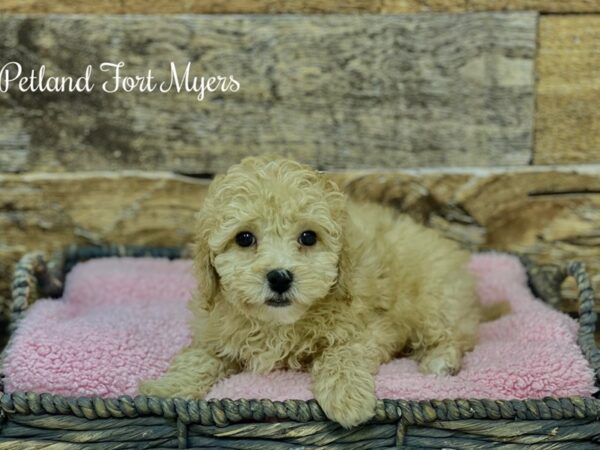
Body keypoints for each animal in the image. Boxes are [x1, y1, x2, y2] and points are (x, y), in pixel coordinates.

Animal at [138, 156, 500, 428]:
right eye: (244, 238)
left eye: (308, 237)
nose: (280, 277)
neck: (279, 324)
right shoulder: (214, 332)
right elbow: (197, 358)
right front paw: (163, 389)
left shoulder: (377, 328)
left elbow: (339, 354)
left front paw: (347, 399)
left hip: (436, 299)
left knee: (454, 336)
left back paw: (440, 362)